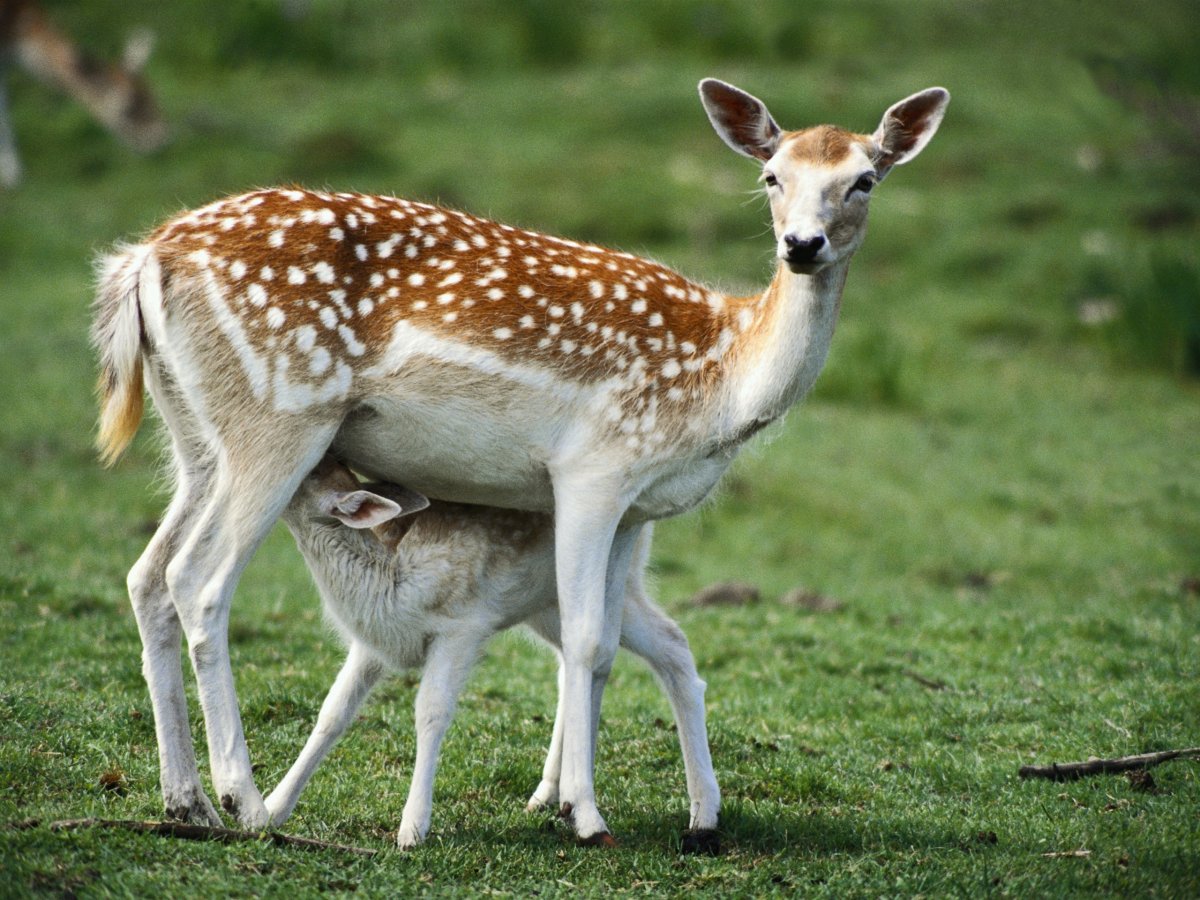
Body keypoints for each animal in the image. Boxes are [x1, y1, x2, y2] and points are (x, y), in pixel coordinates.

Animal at [267, 456, 719, 850]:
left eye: (309, 469)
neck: (390, 582)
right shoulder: (374, 643)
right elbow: (332, 712)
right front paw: (272, 809)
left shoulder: (462, 626)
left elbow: (430, 712)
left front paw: (412, 830)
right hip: (546, 605)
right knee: (572, 663)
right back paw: (547, 794)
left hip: (619, 584)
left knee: (671, 643)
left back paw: (701, 815)